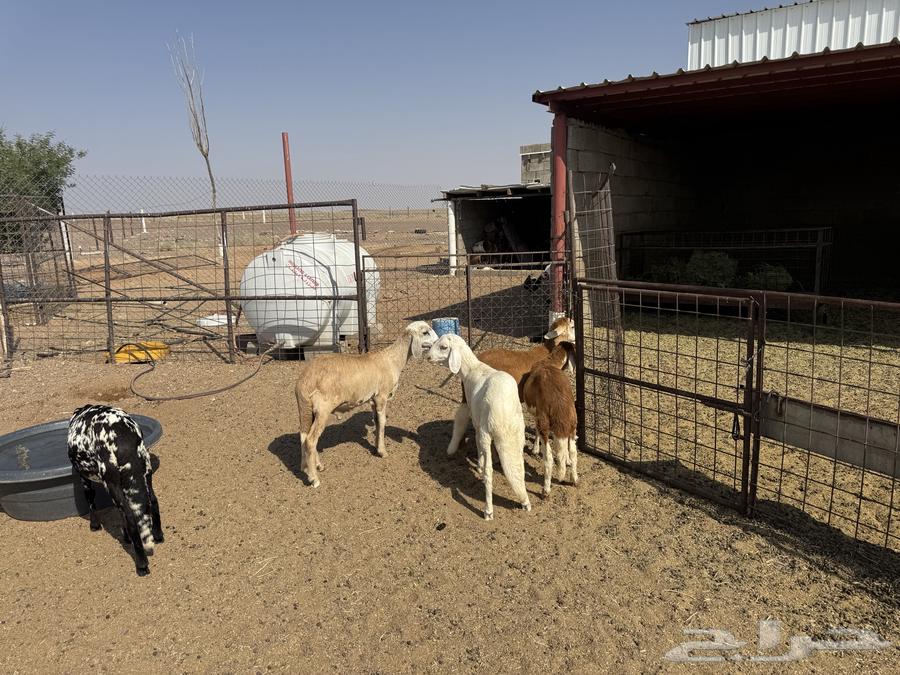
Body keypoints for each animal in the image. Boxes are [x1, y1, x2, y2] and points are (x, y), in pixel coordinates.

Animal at [67, 404, 163, 577]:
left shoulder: (85, 479)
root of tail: (123, 435)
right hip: (146, 473)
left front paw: (94, 525)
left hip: (111, 483)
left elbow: (91, 503)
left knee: (131, 518)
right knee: (153, 501)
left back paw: (141, 564)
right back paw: (158, 535)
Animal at [294, 320, 438, 487]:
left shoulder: (373, 399)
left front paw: (376, 448)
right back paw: (314, 479)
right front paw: (383, 452)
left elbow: (377, 421)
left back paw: (312, 467)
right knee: (311, 440)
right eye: (425, 332)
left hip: (306, 409)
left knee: (304, 436)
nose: (438, 342)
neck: (393, 359)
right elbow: (382, 422)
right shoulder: (382, 395)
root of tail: (305, 381)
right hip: (322, 409)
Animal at [428, 333, 531, 520]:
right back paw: (524, 501)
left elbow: (476, 443)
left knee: (490, 472)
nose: (428, 356)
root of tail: (503, 414)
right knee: (518, 466)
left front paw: (480, 465)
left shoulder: (477, 423)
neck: (471, 369)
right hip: (519, 433)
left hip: (486, 432)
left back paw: (488, 510)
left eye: (444, 347)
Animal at [446, 316, 576, 457]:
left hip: (468, 394)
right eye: (572, 326)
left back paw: (454, 446)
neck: (549, 352)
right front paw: (536, 448)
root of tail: (471, 365)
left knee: (461, 417)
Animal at [522, 342, 578, 497]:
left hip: (544, 422)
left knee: (548, 458)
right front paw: (566, 460)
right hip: (572, 423)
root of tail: (558, 403)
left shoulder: (536, 414)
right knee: (574, 451)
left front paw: (535, 449)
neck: (550, 362)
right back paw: (574, 479)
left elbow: (535, 430)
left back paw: (545, 491)